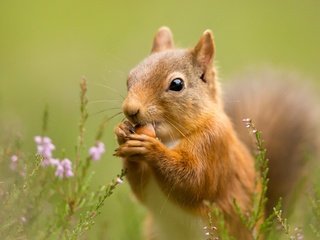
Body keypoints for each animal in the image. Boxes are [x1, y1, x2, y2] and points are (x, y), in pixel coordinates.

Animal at [114, 26, 316, 240]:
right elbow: (140, 188)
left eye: (177, 84)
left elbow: (193, 181)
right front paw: (121, 133)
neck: (170, 138)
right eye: (129, 78)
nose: (130, 109)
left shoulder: (214, 145)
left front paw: (150, 148)